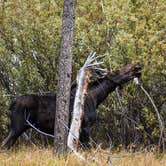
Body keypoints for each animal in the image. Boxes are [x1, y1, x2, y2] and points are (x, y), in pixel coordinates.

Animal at [1, 64, 141, 148]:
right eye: (117, 71)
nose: (136, 67)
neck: (97, 98)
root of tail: (11, 104)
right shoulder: (85, 126)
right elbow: (87, 147)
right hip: (17, 127)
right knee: (4, 144)